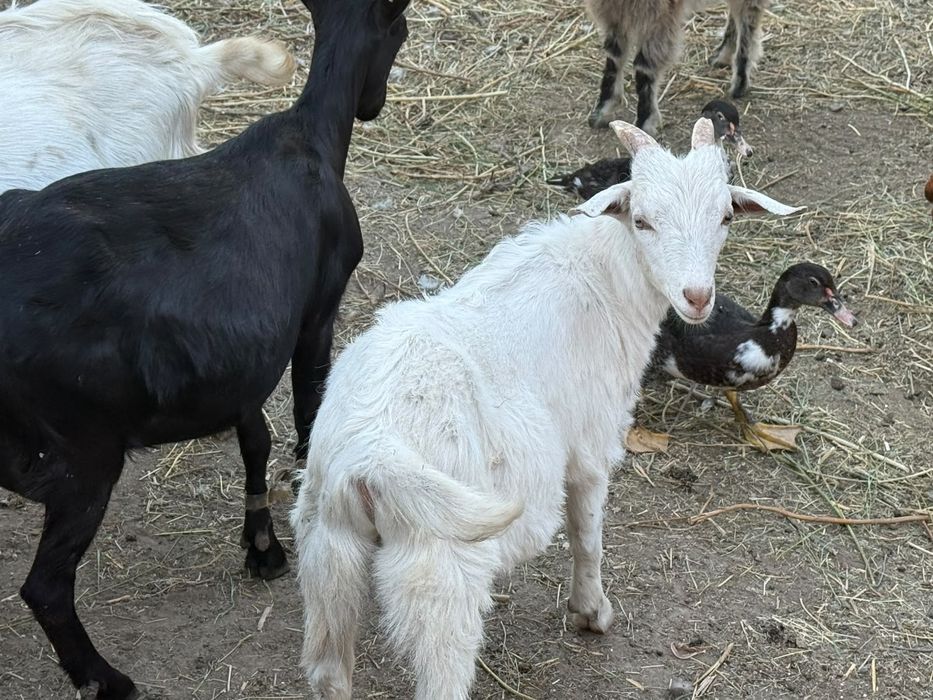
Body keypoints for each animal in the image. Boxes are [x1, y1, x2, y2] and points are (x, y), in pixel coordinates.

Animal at [292, 117, 802, 700]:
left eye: (724, 217)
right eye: (642, 220)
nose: (696, 297)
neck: (607, 278)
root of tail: (367, 456)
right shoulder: (592, 441)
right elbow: (587, 534)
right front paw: (591, 612)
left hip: (326, 552)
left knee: (329, 670)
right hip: (441, 567)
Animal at [586, 0, 770, 134]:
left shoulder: (659, 14)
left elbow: (644, 66)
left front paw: (644, 122)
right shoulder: (612, 11)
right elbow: (614, 56)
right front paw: (602, 111)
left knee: (748, 15)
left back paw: (740, 80)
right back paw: (724, 54)